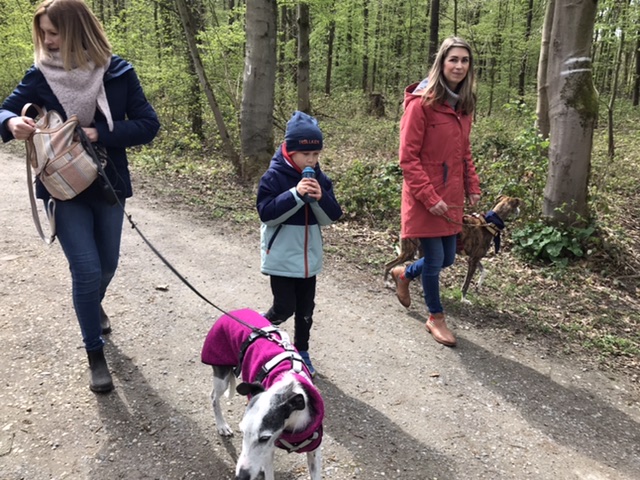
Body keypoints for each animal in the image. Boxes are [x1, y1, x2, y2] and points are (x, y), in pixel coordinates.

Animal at [201, 308, 323, 480]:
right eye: (242, 432)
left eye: (264, 437)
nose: (241, 476)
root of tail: (235, 311)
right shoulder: (269, 452)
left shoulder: (314, 450)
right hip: (222, 375)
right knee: (213, 396)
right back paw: (221, 426)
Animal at [384, 196, 522, 303]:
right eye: (517, 205)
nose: (520, 211)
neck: (489, 223)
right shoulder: (473, 260)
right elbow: (466, 284)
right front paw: (464, 299)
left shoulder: (474, 258)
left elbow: (485, 271)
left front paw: (478, 285)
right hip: (409, 252)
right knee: (388, 264)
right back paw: (387, 282)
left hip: (422, 251)